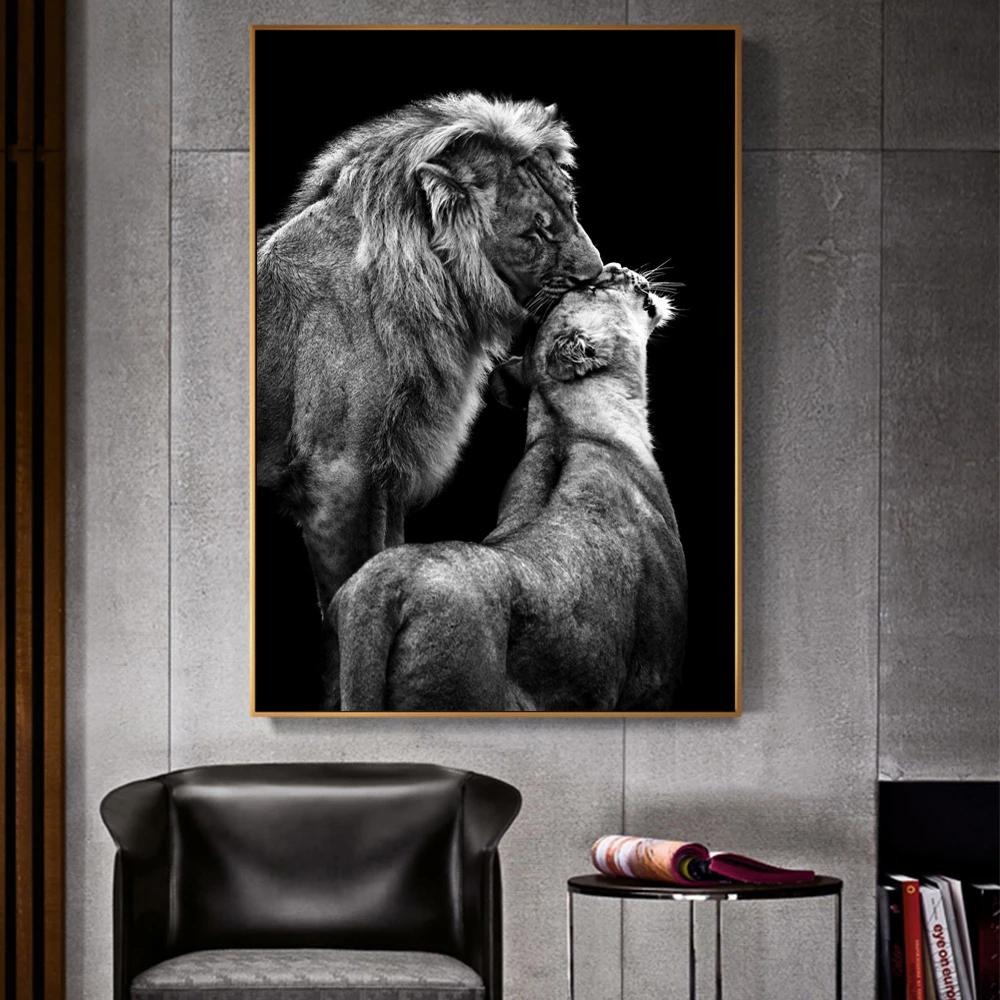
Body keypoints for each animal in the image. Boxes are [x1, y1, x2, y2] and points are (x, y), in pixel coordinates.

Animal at [256, 93, 603, 706]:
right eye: (534, 233)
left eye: (571, 209)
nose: (598, 277)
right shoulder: (337, 476)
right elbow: (344, 607)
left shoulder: (386, 473)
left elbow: (384, 561)